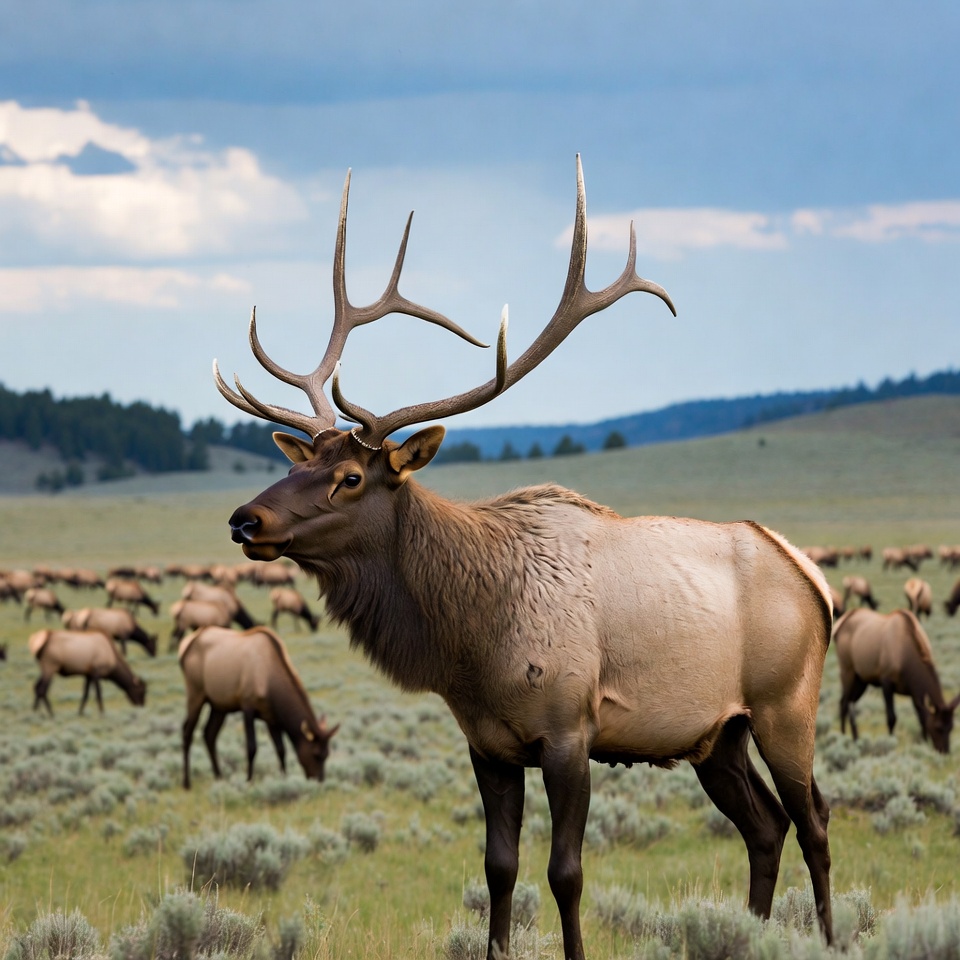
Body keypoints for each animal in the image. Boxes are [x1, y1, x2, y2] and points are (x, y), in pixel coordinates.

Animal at [213, 157, 835, 955]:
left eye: (350, 477)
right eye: (302, 463)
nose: (245, 519)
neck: (473, 643)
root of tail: (815, 580)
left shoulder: (571, 731)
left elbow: (565, 872)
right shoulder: (489, 745)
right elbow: (499, 868)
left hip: (787, 704)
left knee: (814, 821)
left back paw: (827, 935)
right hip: (716, 734)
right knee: (765, 827)